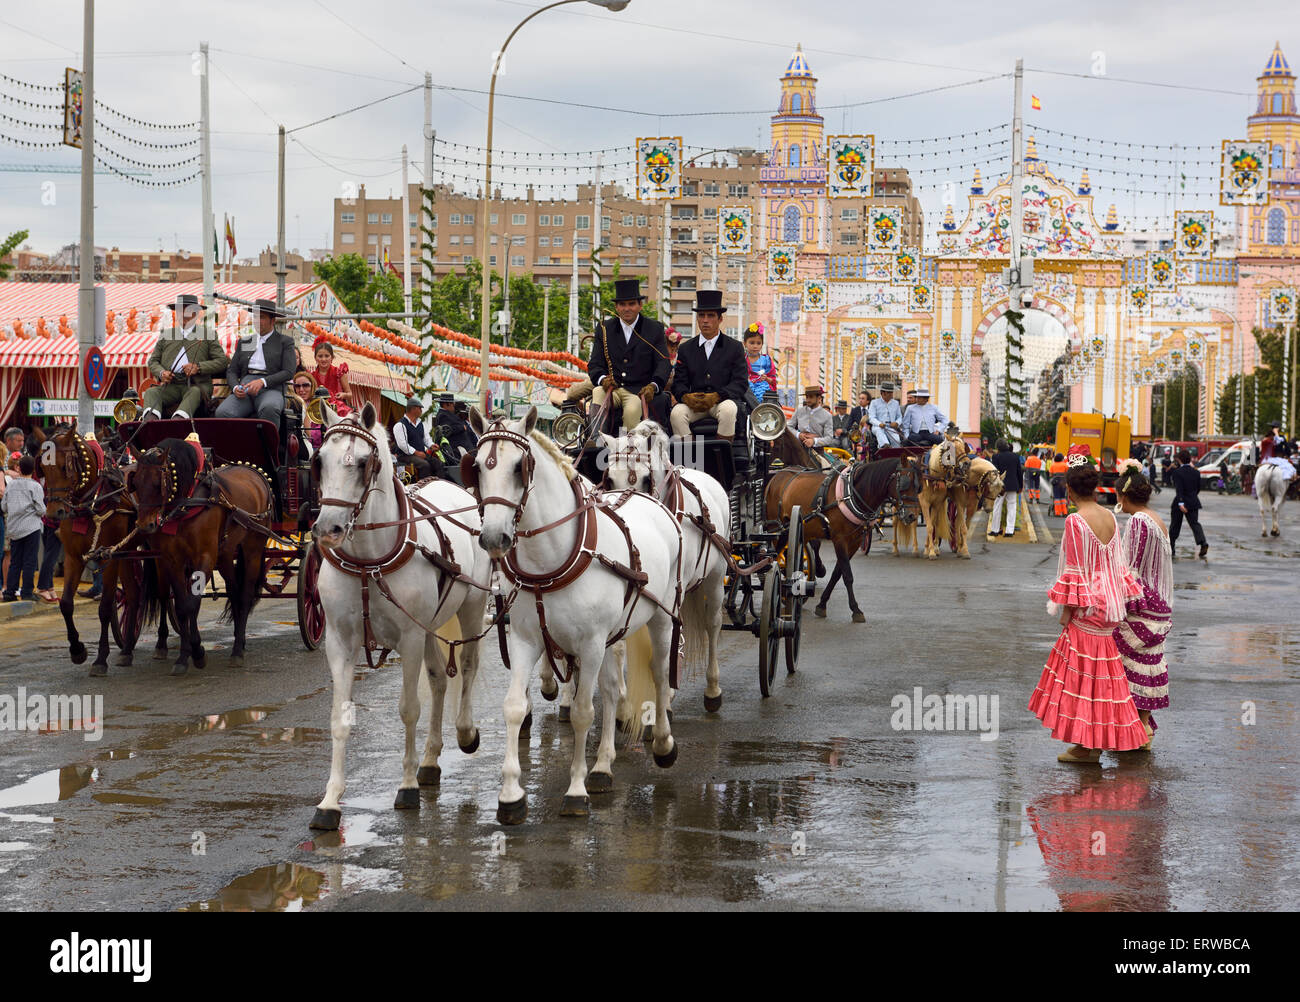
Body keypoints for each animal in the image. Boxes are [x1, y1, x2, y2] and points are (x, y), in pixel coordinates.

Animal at [39, 418, 163, 675]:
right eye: (43, 469)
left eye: (64, 467)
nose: (54, 513)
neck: (93, 501)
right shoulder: (74, 556)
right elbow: (66, 604)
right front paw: (77, 650)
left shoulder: (108, 557)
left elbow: (105, 607)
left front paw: (100, 659)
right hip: (126, 554)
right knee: (134, 594)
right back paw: (127, 649)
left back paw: (160, 645)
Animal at [134, 436, 271, 675]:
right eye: (134, 483)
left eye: (157, 484)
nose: (145, 525)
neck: (187, 503)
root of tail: (253, 471)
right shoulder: (172, 560)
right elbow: (182, 606)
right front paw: (184, 655)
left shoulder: (205, 557)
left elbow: (192, 604)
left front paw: (197, 652)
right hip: (225, 554)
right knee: (234, 592)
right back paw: (239, 640)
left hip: (253, 548)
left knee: (245, 595)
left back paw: (237, 650)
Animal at [310, 400, 491, 831]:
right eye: (318, 460)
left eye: (363, 463)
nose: (328, 529)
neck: (367, 563)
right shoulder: (340, 641)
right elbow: (339, 718)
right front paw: (330, 801)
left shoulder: (408, 638)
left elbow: (409, 709)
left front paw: (406, 787)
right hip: (428, 626)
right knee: (439, 678)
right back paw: (430, 759)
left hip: (471, 606)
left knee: (468, 665)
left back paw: (463, 732)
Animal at [470, 402, 691, 826]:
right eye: (477, 467)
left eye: (519, 466)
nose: (493, 538)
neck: (552, 560)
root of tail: (647, 500)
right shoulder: (527, 640)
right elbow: (514, 707)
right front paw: (511, 795)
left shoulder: (589, 645)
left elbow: (583, 714)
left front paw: (575, 789)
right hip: (613, 633)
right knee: (612, 686)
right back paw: (603, 766)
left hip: (660, 617)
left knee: (657, 676)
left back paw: (663, 742)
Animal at [605, 418, 738, 717]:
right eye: (610, 479)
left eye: (645, 479)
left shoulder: (673, 587)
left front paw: (663, 698)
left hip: (715, 575)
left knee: (712, 624)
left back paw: (712, 689)